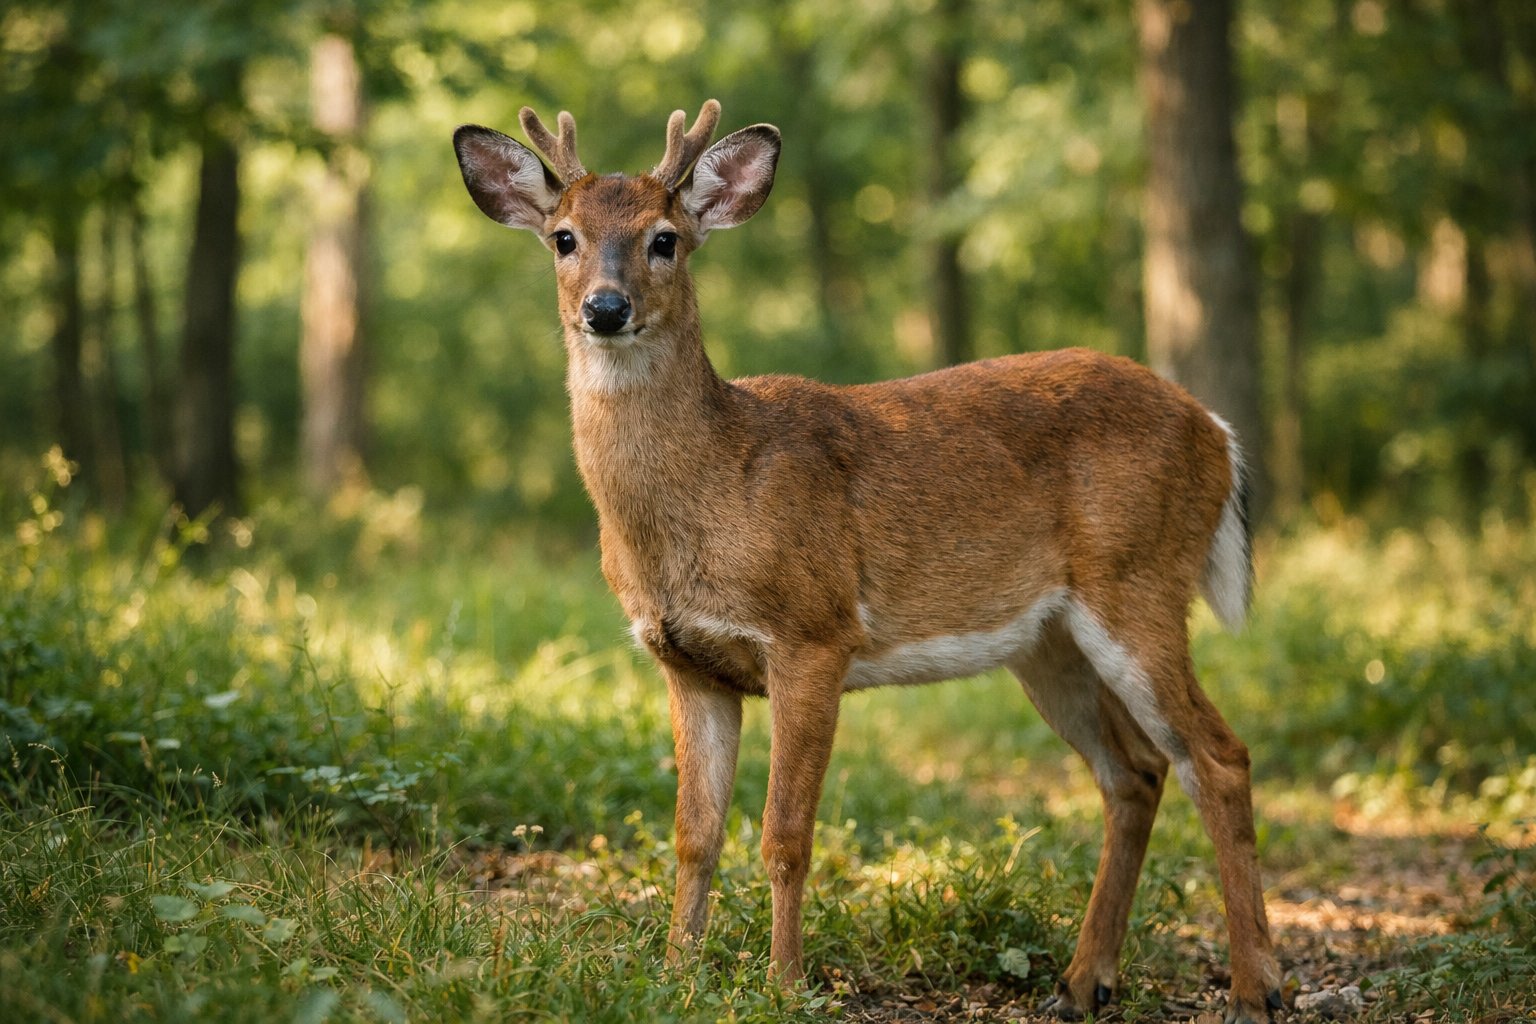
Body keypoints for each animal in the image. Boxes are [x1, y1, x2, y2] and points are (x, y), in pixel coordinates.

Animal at [452, 100, 1283, 1023]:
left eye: (664, 238)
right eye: (563, 236)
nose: (605, 307)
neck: (712, 485)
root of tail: (1217, 431)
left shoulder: (813, 631)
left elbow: (785, 834)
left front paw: (782, 984)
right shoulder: (686, 661)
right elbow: (694, 834)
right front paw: (676, 975)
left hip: (1139, 581)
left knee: (1219, 755)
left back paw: (1256, 987)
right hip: (1048, 641)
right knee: (1136, 770)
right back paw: (1082, 981)